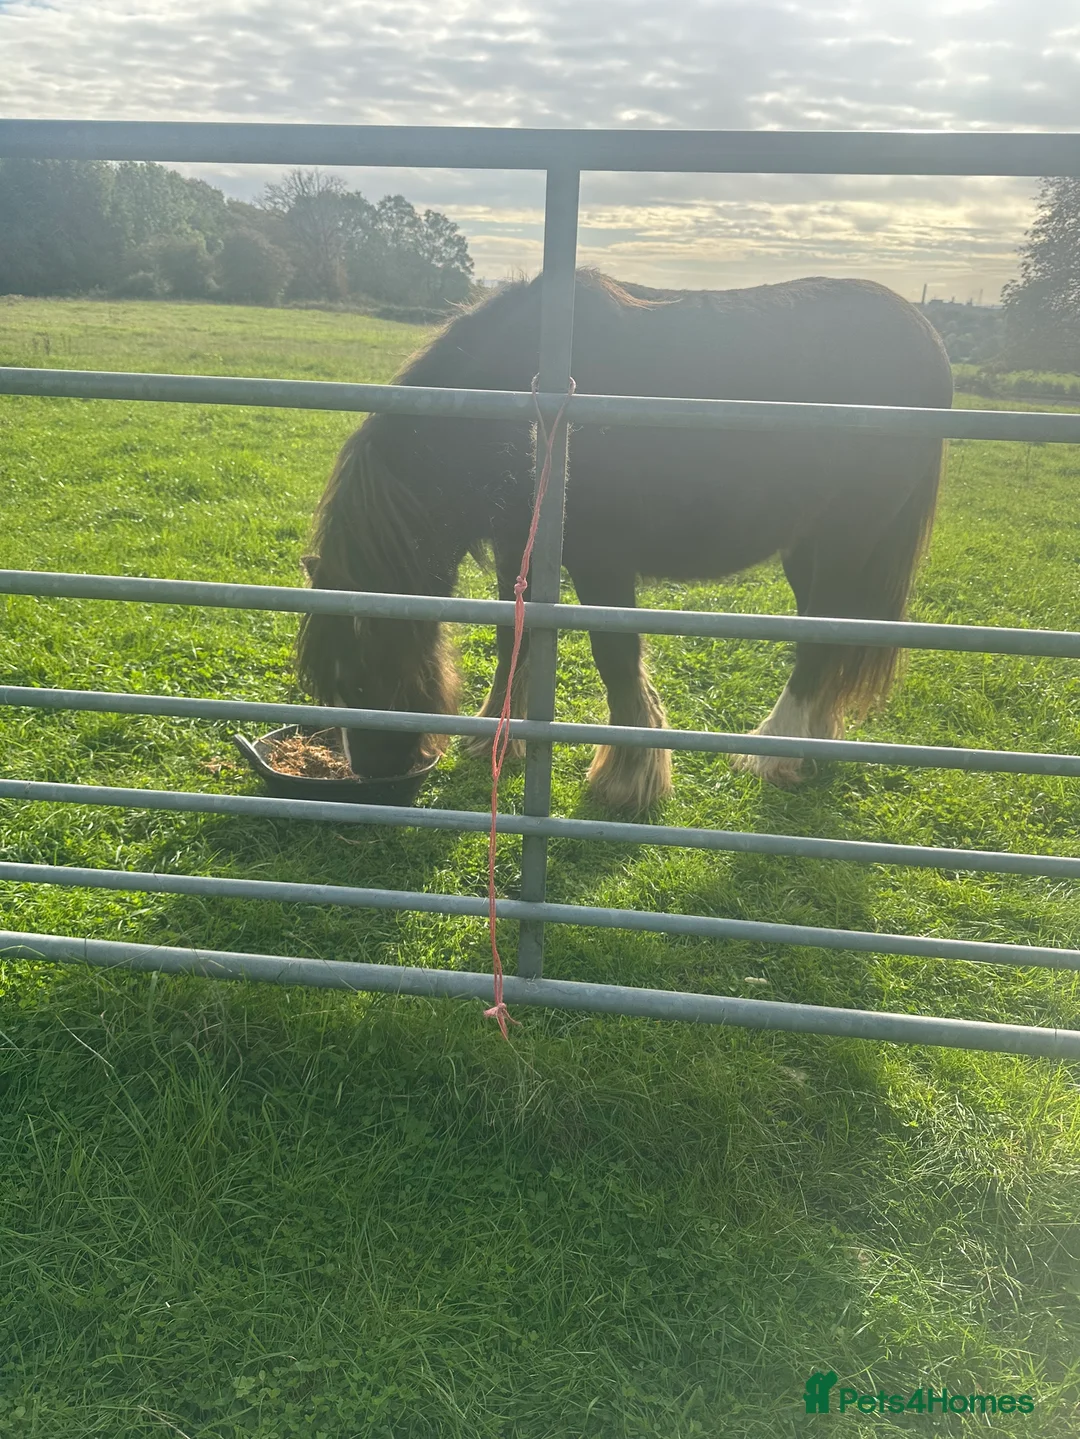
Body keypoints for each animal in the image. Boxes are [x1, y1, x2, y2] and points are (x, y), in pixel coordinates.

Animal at [297, 269, 953, 812]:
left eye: (361, 669)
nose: (375, 772)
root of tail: (926, 335)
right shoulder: (517, 549)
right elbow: (515, 638)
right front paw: (497, 740)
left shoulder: (601, 561)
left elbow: (615, 656)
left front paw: (629, 777)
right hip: (808, 549)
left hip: (849, 539)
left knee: (820, 642)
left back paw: (772, 754)